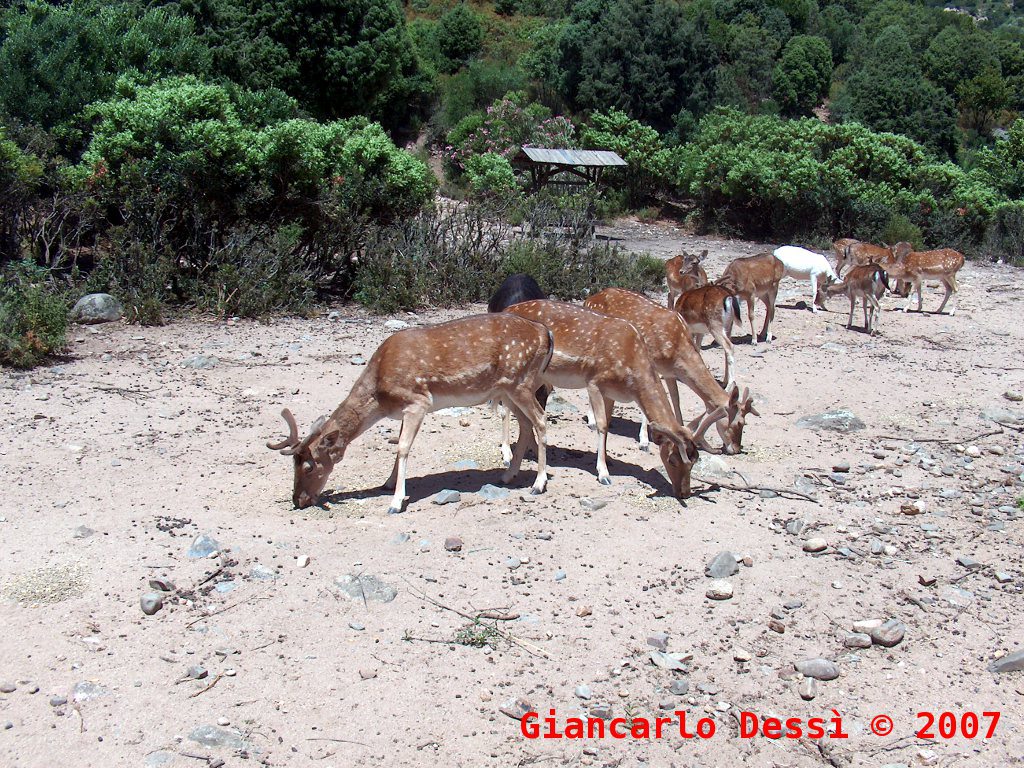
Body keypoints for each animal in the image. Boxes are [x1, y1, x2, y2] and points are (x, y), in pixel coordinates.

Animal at [264, 315, 552, 514]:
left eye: (309, 466)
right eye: (292, 464)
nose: (298, 500)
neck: (380, 396)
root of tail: (545, 333)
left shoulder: (417, 401)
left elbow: (402, 447)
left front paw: (395, 503)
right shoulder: (404, 410)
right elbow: (398, 447)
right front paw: (388, 483)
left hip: (520, 383)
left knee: (540, 419)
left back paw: (538, 484)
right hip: (508, 390)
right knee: (526, 424)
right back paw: (507, 475)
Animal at [503, 301, 729, 499]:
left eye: (695, 461)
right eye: (672, 459)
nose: (684, 493)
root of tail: (506, 308)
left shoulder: (610, 392)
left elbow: (609, 422)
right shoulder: (594, 381)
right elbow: (602, 425)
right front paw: (603, 474)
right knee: (508, 410)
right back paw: (509, 458)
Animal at [581, 288, 757, 456]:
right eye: (740, 422)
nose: (736, 449)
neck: (677, 347)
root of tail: (588, 300)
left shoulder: (670, 372)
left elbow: (676, 400)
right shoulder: (651, 365)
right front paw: (644, 441)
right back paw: (591, 421)